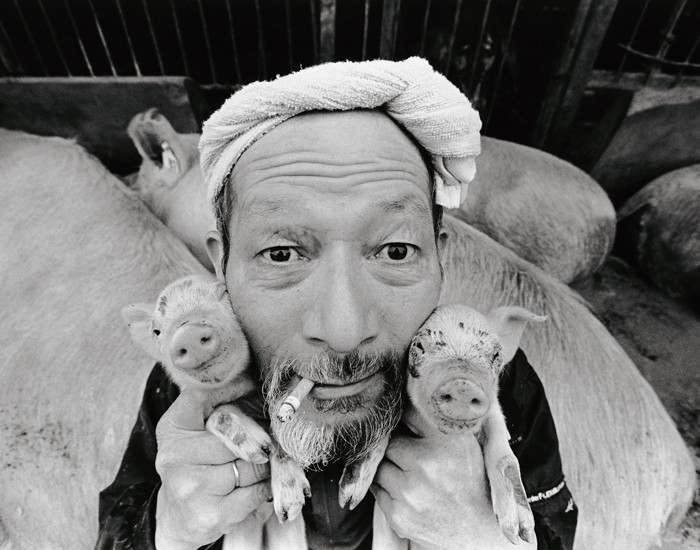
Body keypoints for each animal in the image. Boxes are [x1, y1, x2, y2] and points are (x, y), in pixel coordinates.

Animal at [122, 275, 308, 548]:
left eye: (223, 293)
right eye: (156, 331)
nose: (187, 334)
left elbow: (281, 433)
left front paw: (293, 500)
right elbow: (217, 414)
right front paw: (256, 449)